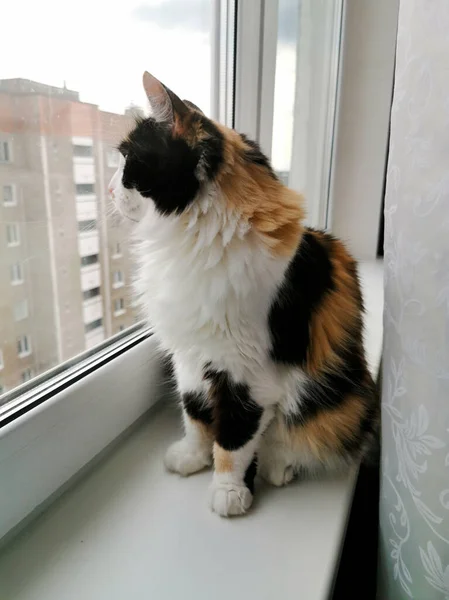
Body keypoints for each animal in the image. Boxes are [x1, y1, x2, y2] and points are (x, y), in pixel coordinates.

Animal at [108, 72, 378, 516]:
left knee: (285, 436)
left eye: (127, 159)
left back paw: (276, 466)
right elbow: (196, 416)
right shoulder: (190, 357)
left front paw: (229, 490)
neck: (197, 240)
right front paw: (192, 456)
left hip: (343, 401)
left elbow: (233, 440)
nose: (110, 190)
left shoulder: (247, 374)